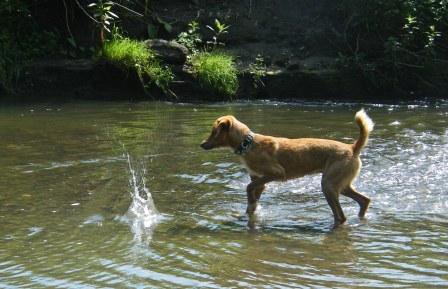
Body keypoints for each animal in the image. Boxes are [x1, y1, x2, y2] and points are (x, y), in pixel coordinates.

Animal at [200, 109, 374, 226]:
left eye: (214, 132)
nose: (201, 144)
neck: (247, 144)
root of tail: (352, 148)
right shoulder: (260, 182)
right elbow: (252, 197)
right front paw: (251, 211)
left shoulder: (276, 173)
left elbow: (249, 187)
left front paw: (252, 206)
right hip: (341, 185)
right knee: (364, 200)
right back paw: (361, 217)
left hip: (328, 186)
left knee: (341, 216)